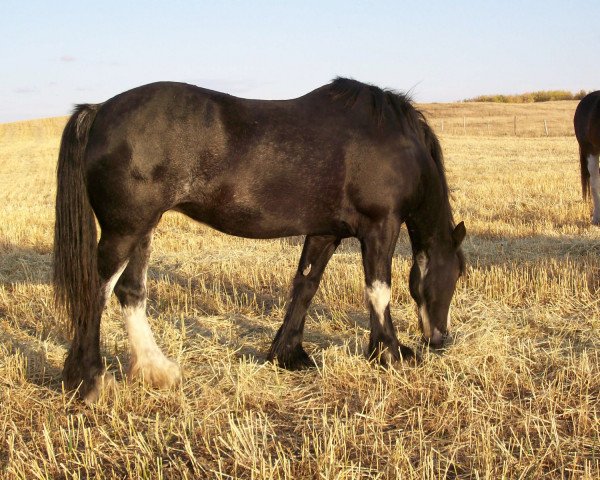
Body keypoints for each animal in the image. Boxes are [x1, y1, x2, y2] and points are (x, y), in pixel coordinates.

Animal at [54, 78, 466, 402]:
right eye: (459, 273)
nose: (441, 338)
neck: (395, 143)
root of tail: (98, 111)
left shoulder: (325, 231)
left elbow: (305, 286)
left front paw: (288, 354)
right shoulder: (380, 226)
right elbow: (379, 290)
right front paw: (390, 353)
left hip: (142, 229)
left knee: (130, 291)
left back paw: (156, 370)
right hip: (124, 231)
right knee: (95, 291)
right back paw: (89, 380)